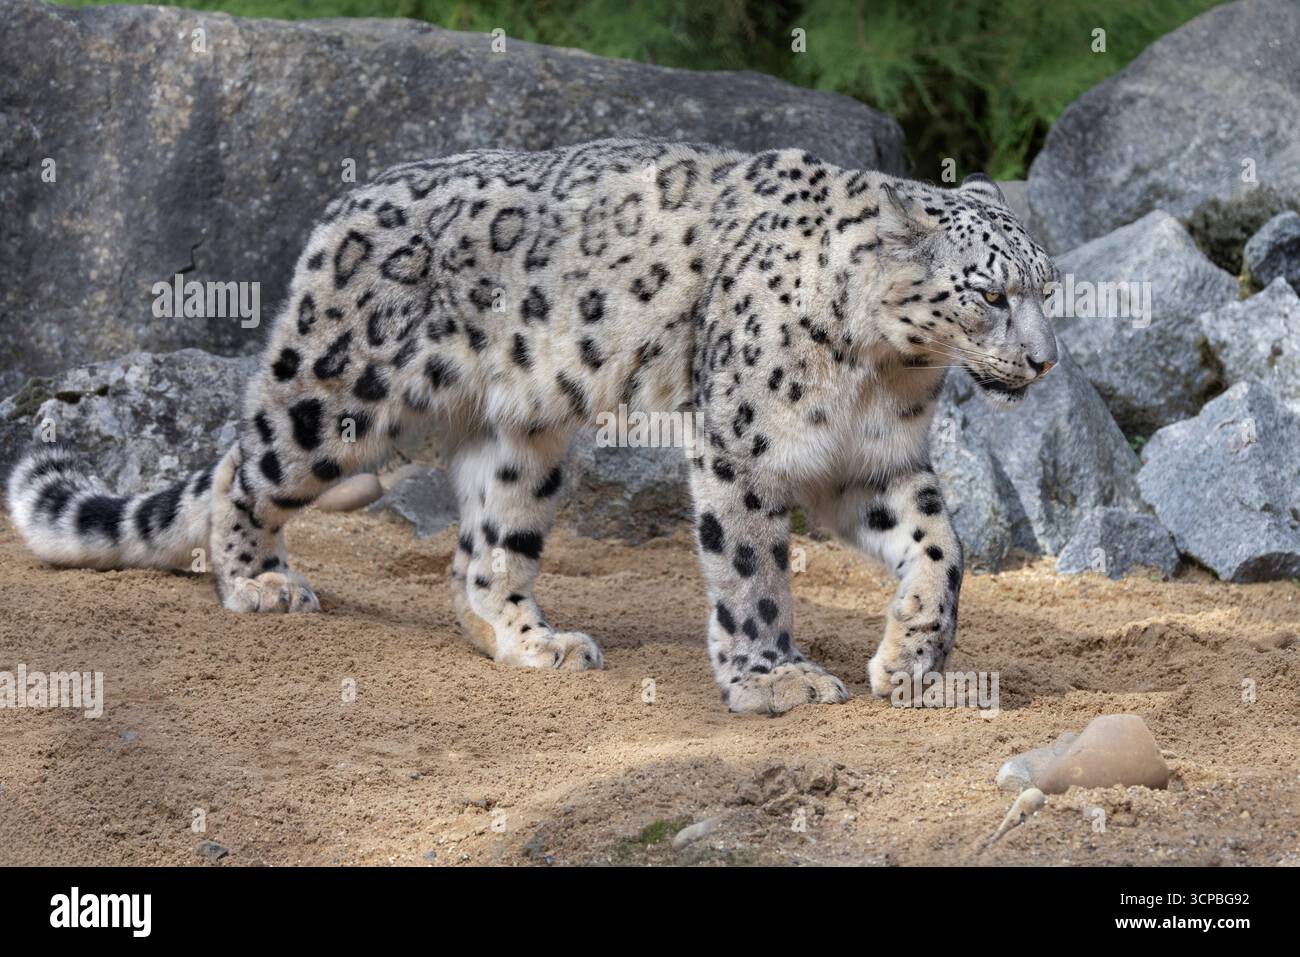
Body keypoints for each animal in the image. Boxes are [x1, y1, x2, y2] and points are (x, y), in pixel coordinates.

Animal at [6, 138, 1058, 715]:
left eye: (1047, 288)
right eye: (991, 294)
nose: (1046, 360)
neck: (885, 373)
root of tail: (340, 206)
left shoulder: (869, 466)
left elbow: (942, 548)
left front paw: (914, 658)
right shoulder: (746, 447)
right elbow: (752, 571)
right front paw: (771, 677)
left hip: (527, 441)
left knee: (482, 555)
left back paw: (531, 640)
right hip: (336, 401)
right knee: (244, 466)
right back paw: (257, 582)